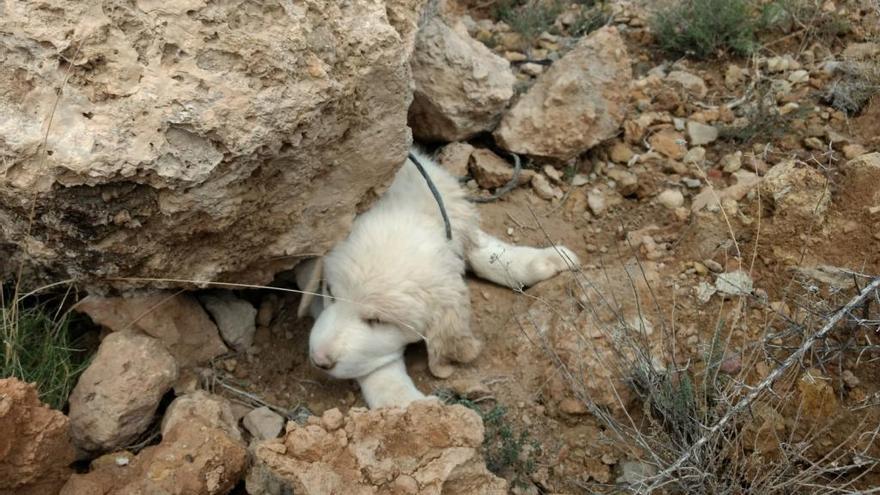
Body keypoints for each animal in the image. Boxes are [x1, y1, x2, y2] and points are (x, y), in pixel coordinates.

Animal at [300, 149, 580, 408]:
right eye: (329, 293)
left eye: (377, 320)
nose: (319, 360)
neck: (407, 208)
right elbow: (379, 365)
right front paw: (404, 400)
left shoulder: (455, 220)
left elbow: (485, 252)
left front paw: (544, 259)